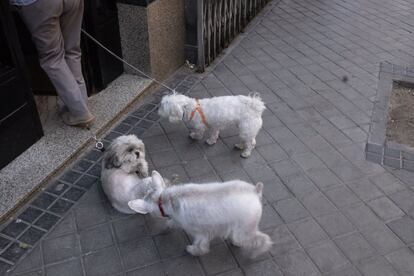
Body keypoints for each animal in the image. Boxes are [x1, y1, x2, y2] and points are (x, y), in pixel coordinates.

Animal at [128, 169, 274, 258]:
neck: (164, 200)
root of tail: (255, 191)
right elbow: (171, 222)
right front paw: (167, 227)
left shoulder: (200, 233)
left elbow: (201, 246)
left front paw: (193, 250)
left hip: (245, 229)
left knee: (263, 239)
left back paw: (255, 251)